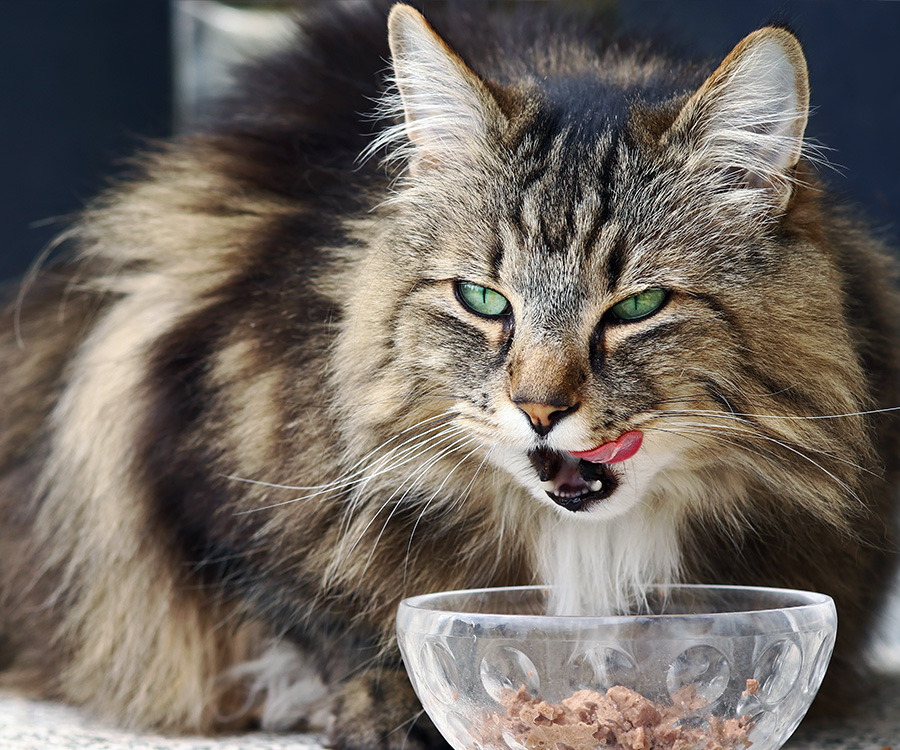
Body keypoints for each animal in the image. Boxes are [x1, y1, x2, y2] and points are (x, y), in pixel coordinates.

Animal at [1, 0, 900, 748]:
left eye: (639, 305)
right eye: (482, 299)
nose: (538, 408)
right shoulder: (192, 469)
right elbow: (320, 616)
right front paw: (390, 706)